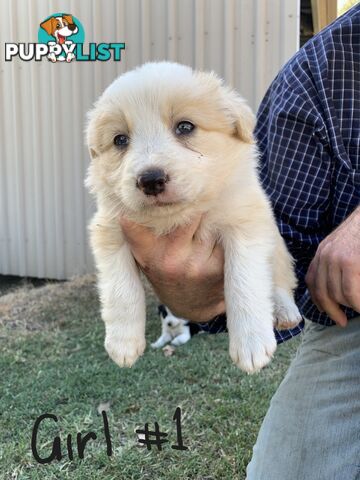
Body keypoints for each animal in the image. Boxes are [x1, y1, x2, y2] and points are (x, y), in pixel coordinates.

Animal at [86, 61, 302, 376]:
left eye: (185, 127)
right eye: (120, 140)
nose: (150, 180)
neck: (173, 218)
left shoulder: (246, 224)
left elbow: (244, 282)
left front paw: (251, 344)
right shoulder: (110, 232)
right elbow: (120, 288)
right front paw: (122, 344)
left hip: (278, 244)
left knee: (281, 280)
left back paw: (286, 311)